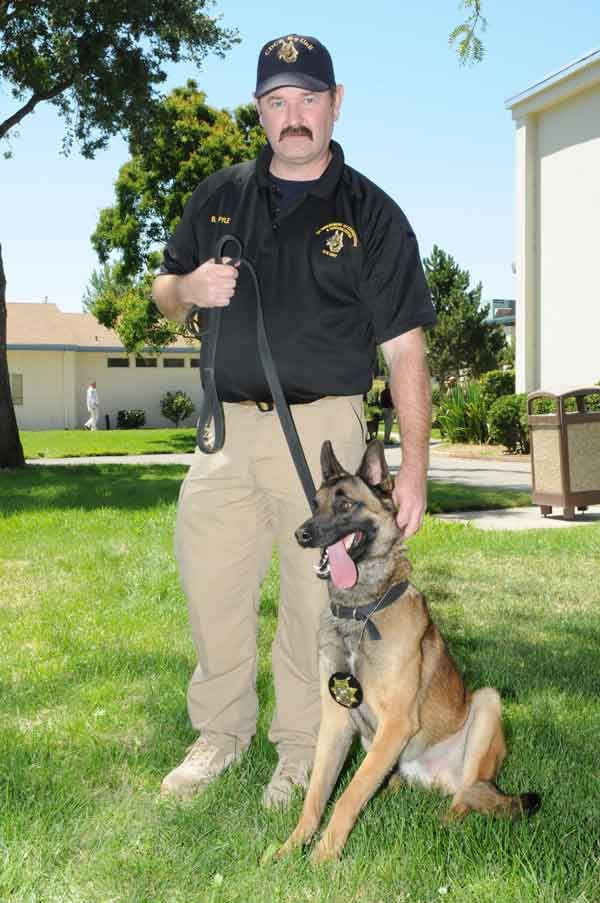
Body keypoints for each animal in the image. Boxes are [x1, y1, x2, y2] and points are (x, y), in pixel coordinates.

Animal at [276, 442, 540, 864]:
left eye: (346, 504)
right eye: (315, 504)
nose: (302, 534)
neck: (361, 612)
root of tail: (437, 777)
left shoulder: (396, 722)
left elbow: (346, 797)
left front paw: (321, 859)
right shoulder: (336, 722)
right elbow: (317, 796)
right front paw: (290, 850)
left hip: (487, 704)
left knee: (464, 797)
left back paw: (445, 826)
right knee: (388, 782)